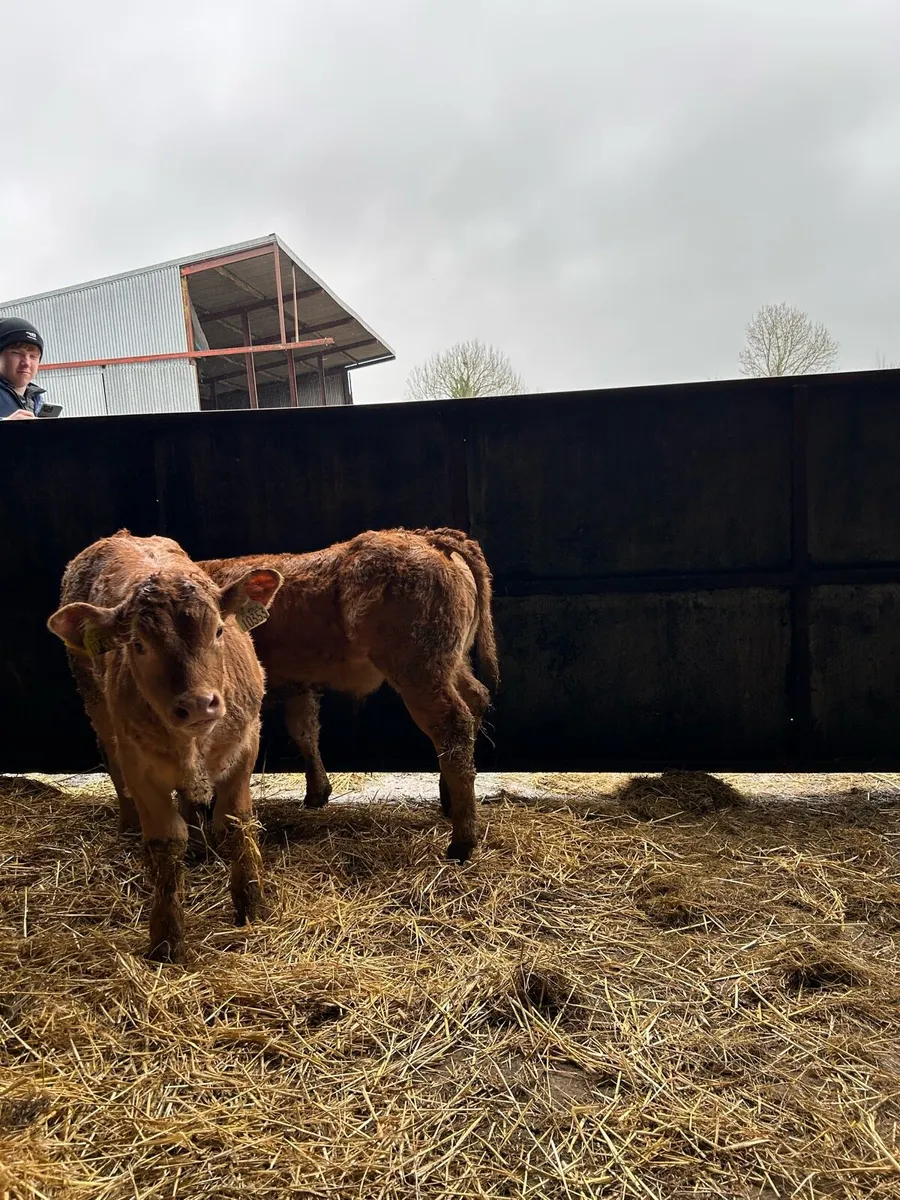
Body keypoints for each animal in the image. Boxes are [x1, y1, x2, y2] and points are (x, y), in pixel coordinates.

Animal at [47, 530, 282, 963]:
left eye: (219, 631)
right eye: (139, 645)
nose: (198, 704)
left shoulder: (245, 745)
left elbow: (235, 824)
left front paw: (252, 907)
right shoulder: (140, 765)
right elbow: (165, 843)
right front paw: (167, 940)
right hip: (97, 709)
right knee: (113, 767)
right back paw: (128, 826)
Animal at [200, 528, 499, 863]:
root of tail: (429, 538)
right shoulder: (299, 686)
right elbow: (305, 731)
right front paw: (317, 793)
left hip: (421, 677)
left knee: (453, 728)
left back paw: (461, 843)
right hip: (452, 665)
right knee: (475, 701)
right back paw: (449, 802)